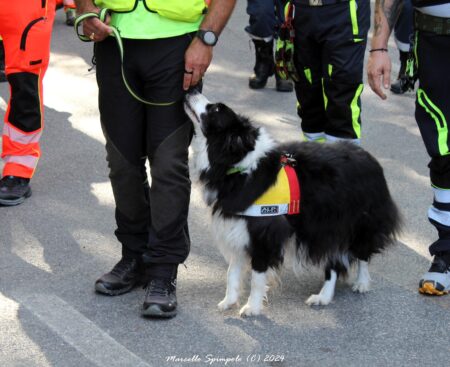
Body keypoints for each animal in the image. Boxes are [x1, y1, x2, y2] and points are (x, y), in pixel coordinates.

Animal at [183, 91, 400, 316]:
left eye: (215, 109)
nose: (190, 91)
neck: (239, 166)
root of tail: (370, 159)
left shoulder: (264, 232)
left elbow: (257, 276)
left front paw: (251, 308)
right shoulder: (237, 227)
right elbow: (232, 271)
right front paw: (229, 301)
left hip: (352, 220)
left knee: (359, 252)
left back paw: (357, 284)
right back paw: (324, 296)